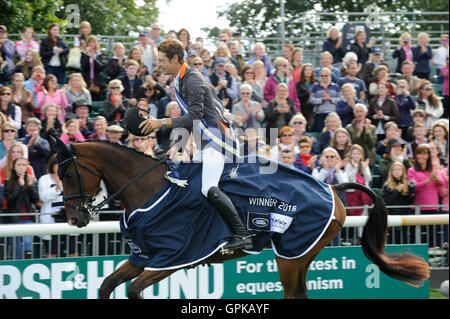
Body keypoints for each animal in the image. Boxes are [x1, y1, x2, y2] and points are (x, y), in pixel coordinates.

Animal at [49, 138, 428, 300]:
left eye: (67, 174)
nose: (75, 218)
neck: (151, 187)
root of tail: (332, 188)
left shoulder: (173, 258)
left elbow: (132, 290)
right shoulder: (144, 256)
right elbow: (106, 285)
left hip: (292, 256)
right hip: (299, 257)